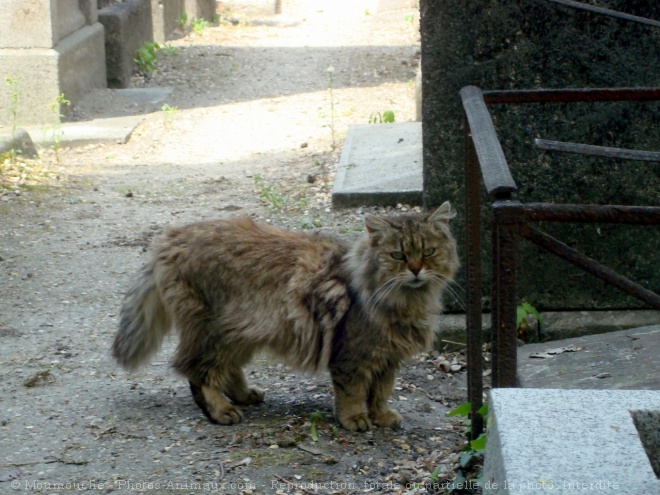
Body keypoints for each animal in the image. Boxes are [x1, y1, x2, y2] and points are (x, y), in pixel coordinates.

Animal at [112, 203, 458, 432]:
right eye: (398, 255)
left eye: (428, 252)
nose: (415, 269)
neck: (405, 301)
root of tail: (170, 237)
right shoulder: (353, 356)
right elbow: (354, 393)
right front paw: (354, 420)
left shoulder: (387, 361)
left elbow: (381, 393)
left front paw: (382, 416)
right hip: (212, 330)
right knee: (198, 372)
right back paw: (221, 411)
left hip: (241, 332)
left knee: (226, 368)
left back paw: (245, 395)